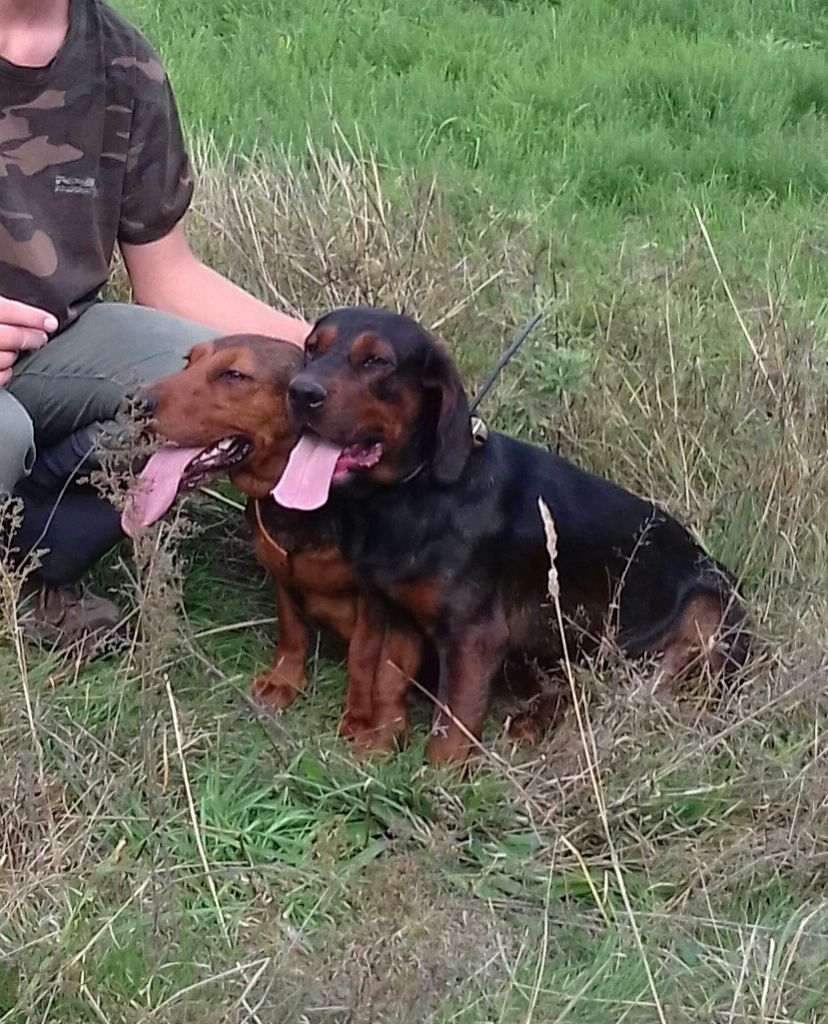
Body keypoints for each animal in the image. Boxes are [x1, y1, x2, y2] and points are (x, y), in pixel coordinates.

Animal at [117, 335, 419, 753]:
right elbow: (291, 635)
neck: (300, 501)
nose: (135, 401)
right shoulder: (282, 578)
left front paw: (359, 718)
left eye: (234, 375)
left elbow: (363, 658)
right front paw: (283, 683)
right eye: (188, 361)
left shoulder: (374, 602)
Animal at [276, 307, 749, 765]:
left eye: (376, 361)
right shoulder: (398, 615)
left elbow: (453, 721)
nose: (300, 393)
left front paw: (440, 780)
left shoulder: (474, 634)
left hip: (708, 614)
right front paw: (376, 751)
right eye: (311, 348)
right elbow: (387, 686)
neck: (414, 494)